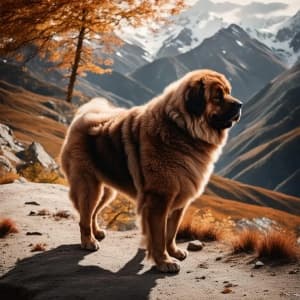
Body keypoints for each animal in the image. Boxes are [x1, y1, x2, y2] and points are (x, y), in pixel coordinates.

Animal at [60, 69, 241, 274]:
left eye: (228, 92)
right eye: (217, 96)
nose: (240, 104)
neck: (182, 130)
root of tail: (85, 115)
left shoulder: (179, 200)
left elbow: (171, 232)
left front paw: (174, 252)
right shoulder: (159, 200)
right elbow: (159, 236)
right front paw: (164, 261)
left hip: (106, 191)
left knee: (92, 213)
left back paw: (96, 232)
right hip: (90, 187)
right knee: (84, 216)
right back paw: (88, 241)